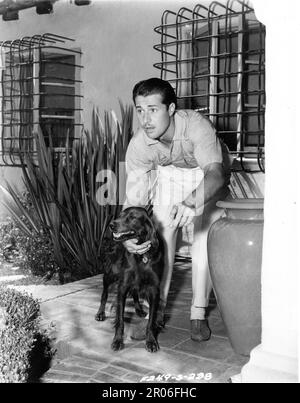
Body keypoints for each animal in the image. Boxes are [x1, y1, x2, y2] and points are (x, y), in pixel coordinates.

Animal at [95, 208, 163, 354]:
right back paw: (100, 313)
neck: (140, 256)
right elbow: (120, 320)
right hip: (110, 274)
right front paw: (117, 341)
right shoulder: (123, 286)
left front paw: (151, 341)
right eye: (120, 215)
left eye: (132, 217)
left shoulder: (154, 289)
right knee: (104, 294)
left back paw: (138, 309)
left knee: (135, 293)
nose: (111, 225)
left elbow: (151, 321)